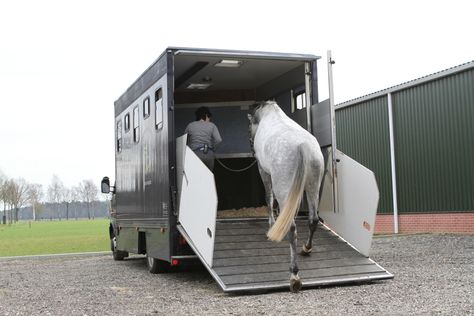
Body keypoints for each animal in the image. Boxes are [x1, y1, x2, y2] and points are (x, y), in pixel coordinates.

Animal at [248, 100, 326, 292]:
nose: (250, 144)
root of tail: (302, 145)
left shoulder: (264, 171)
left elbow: (269, 199)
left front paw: (272, 225)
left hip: (285, 187)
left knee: (291, 227)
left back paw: (294, 275)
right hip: (312, 187)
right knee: (313, 219)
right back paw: (306, 249)